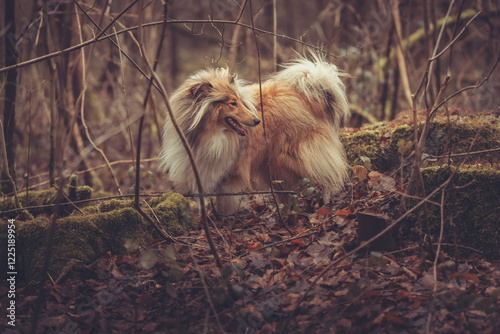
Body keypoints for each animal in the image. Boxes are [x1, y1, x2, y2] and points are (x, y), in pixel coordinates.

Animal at [158, 53, 350, 213]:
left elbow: (225, 203)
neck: (210, 135)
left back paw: (323, 202)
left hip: (293, 157)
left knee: (322, 176)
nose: (257, 121)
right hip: (273, 166)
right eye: (232, 103)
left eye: (238, 101)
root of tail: (306, 94)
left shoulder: (230, 173)